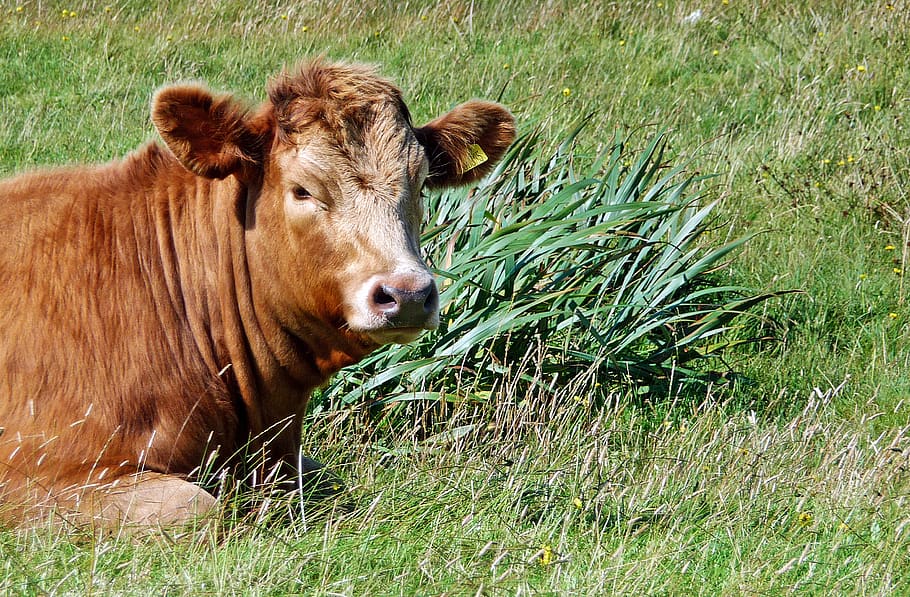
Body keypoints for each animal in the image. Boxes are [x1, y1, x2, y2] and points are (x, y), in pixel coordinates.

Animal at [0, 58, 516, 529]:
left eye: (422, 184)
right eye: (303, 190)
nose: (406, 293)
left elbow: (328, 486)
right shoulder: (41, 479)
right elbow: (197, 510)